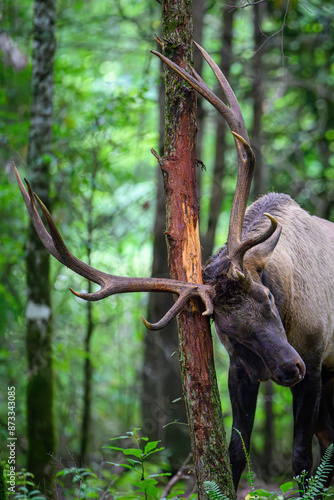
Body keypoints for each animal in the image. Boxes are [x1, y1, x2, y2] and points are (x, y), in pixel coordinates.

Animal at [14, 42, 334, 488]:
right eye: (226, 327)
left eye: (268, 297)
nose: (290, 367)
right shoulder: (240, 370)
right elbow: (236, 454)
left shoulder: (318, 358)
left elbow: (302, 462)